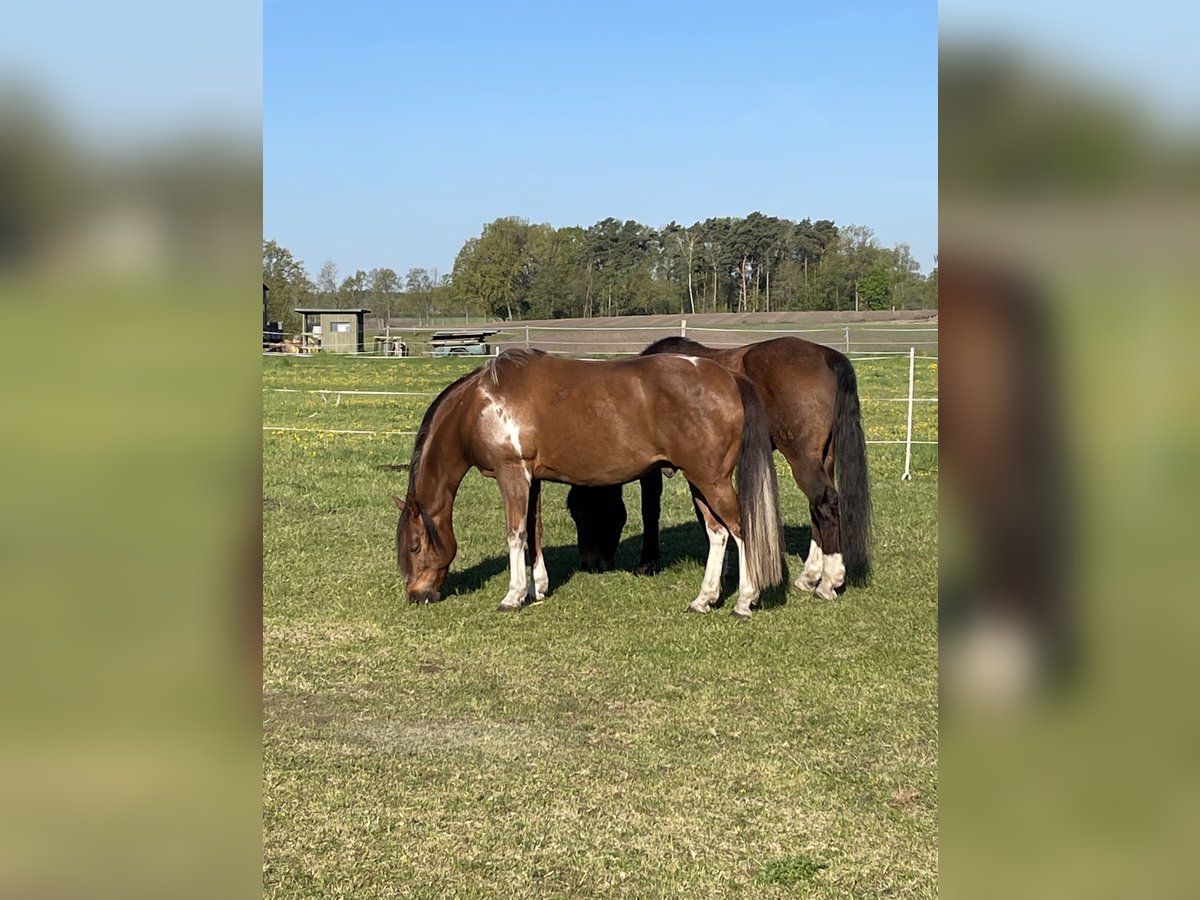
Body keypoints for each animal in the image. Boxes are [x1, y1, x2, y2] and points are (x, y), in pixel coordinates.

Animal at [393, 350, 787, 619]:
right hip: (700, 481)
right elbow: (534, 533)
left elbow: (515, 534)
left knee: (741, 530)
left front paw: (513, 595)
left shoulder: (512, 474)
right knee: (718, 534)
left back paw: (744, 601)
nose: (417, 596)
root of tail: (728, 378)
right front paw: (538, 589)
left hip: (711, 480)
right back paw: (703, 600)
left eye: (414, 546)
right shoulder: (533, 478)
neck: (480, 404)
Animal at [564, 336, 873, 600]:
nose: (591, 564)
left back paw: (828, 582)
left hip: (802, 458)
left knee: (825, 503)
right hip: (823, 458)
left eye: (583, 512)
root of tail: (826, 355)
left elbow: (655, 510)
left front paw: (649, 564)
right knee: (817, 507)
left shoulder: (670, 471)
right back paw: (809, 576)